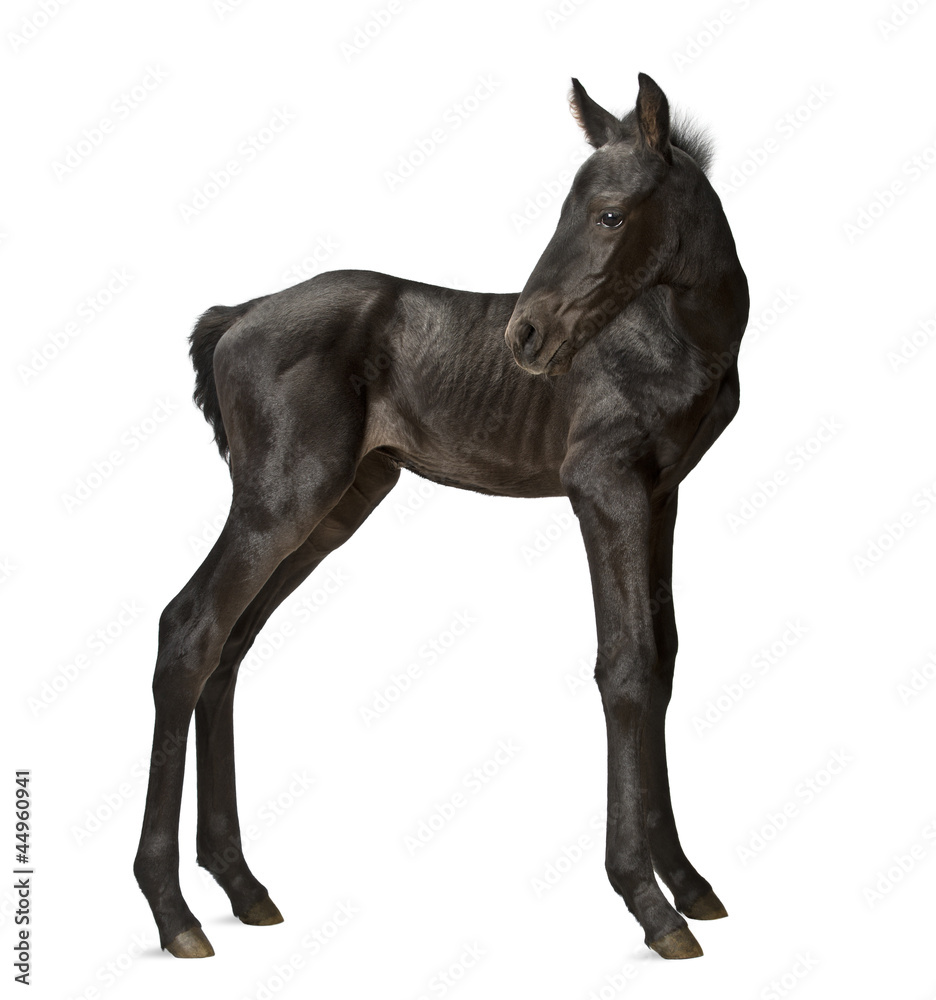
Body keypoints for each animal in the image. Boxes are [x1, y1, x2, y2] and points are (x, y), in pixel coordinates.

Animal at [133, 72, 749, 961]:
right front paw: (648, 902)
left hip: (335, 504)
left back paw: (241, 888)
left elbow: (663, 659)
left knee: (229, 644)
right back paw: (172, 910)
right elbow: (626, 666)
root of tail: (232, 318)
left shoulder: (662, 492)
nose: (527, 335)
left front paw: (690, 883)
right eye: (568, 209)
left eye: (609, 214)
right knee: (189, 627)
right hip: (284, 495)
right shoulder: (603, 486)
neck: (681, 335)